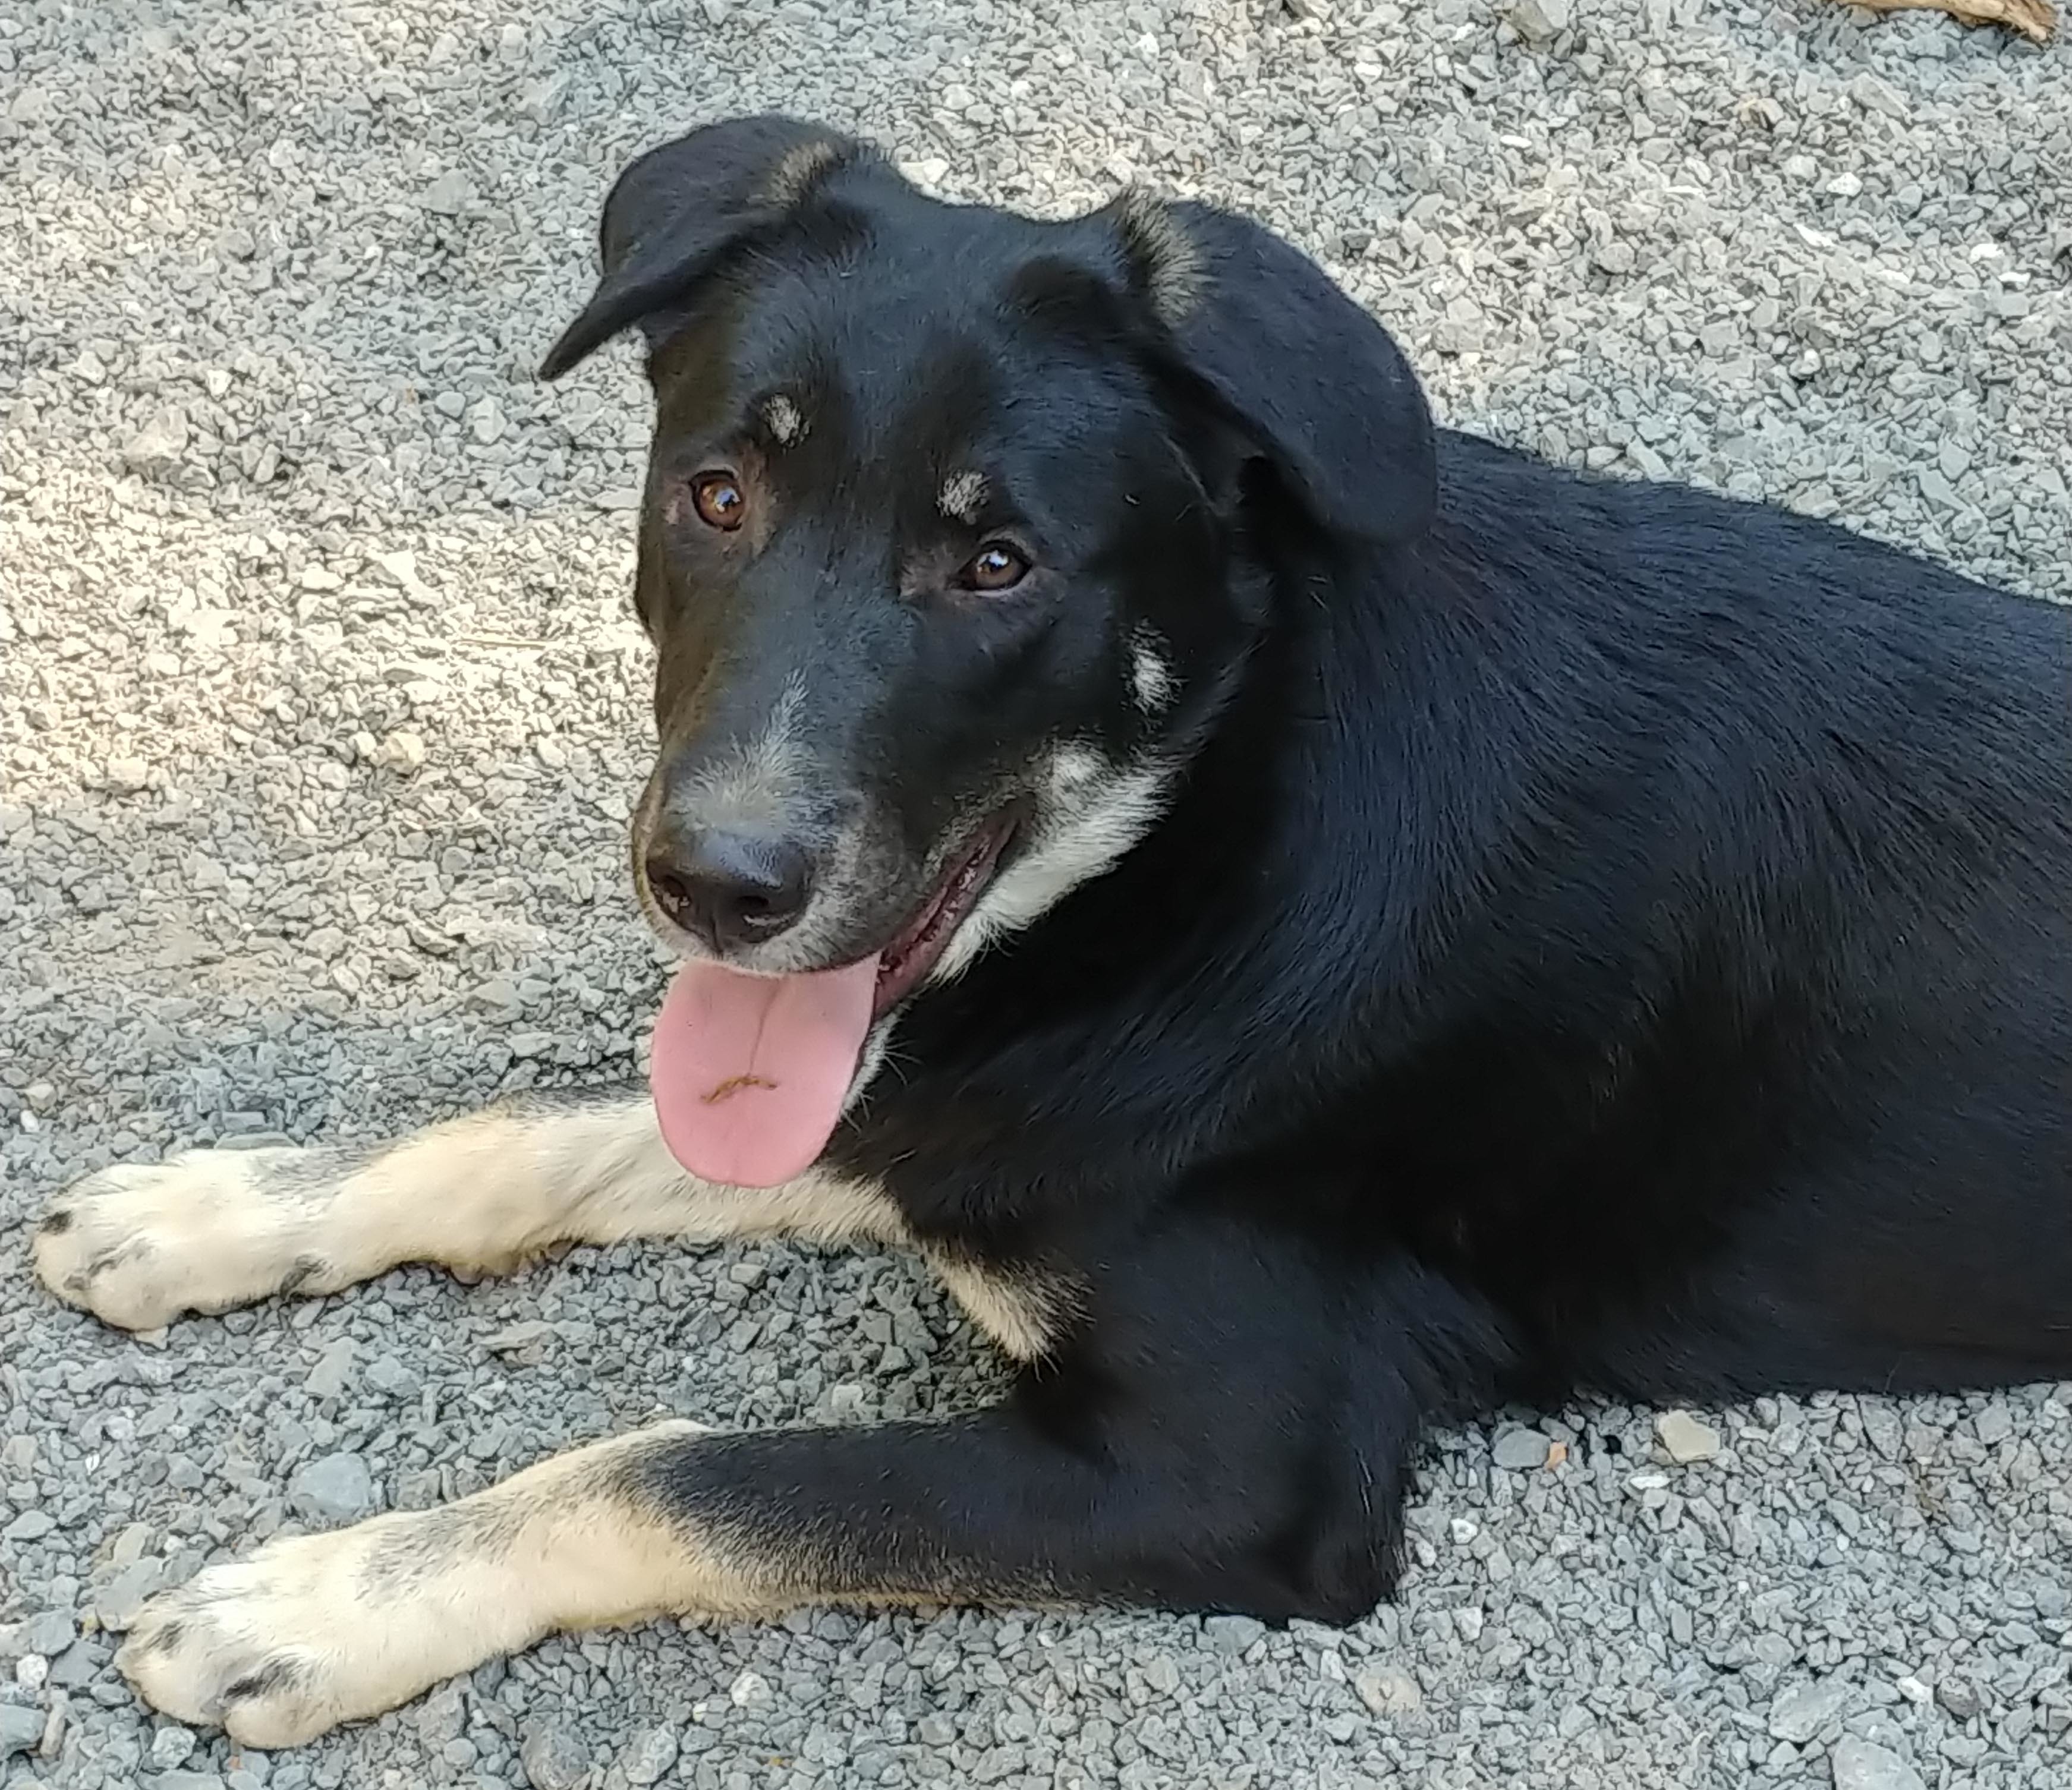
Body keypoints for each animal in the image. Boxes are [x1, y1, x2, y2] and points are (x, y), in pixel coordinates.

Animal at [36, 115, 2072, 1748]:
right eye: (718, 493)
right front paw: (215, 1207)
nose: (715, 882)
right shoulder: (937, 1103)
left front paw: (325, 1597)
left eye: (995, 563)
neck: (1211, 819)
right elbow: (544, 1132)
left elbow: (677, 1471)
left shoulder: (1234, 1467)